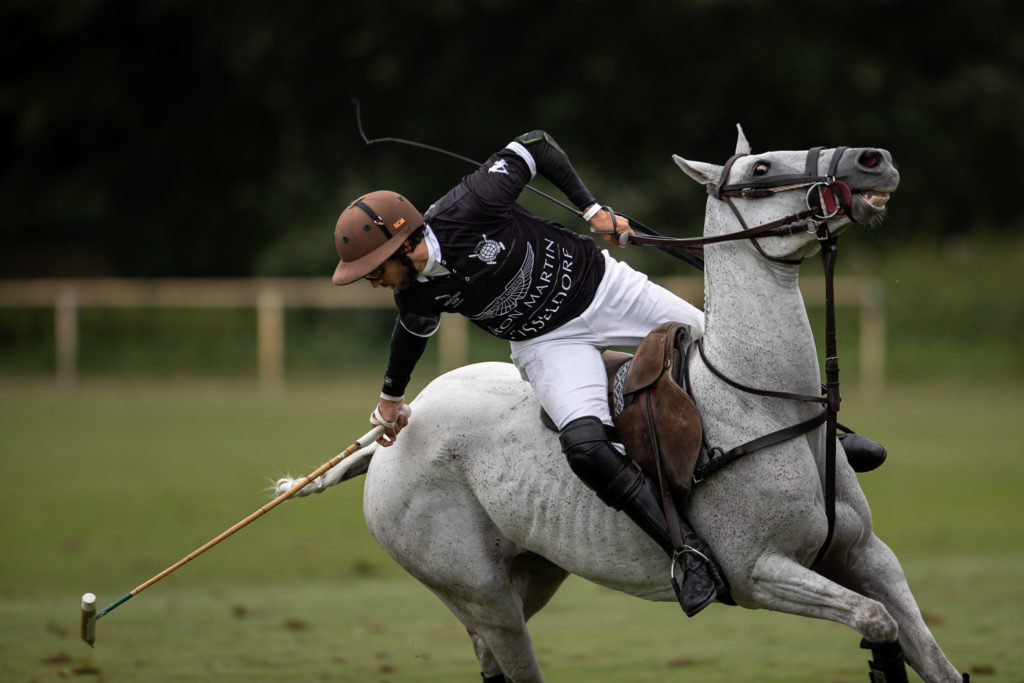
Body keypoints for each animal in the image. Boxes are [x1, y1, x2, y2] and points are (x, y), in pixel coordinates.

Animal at [282, 129, 966, 683]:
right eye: (761, 168)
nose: (874, 160)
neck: (767, 408)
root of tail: (393, 440)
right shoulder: (759, 572)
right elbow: (876, 621)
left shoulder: (867, 553)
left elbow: (923, 651)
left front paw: (603, 220)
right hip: (479, 592)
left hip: (533, 571)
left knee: (486, 655)